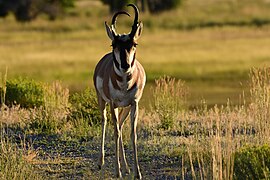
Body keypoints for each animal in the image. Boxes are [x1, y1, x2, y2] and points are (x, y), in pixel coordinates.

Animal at [94, 3, 147, 179]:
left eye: (134, 44)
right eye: (114, 45)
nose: (125, 66)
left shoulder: (134, 104)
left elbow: (132, 133)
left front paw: (137, 172)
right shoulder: (113, 104)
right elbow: (115, 132)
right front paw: (117, 172)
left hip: (126, 107)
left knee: (121, 125)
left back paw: (126, 167)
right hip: (103, 102)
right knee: (105, 122)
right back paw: (101, 162)